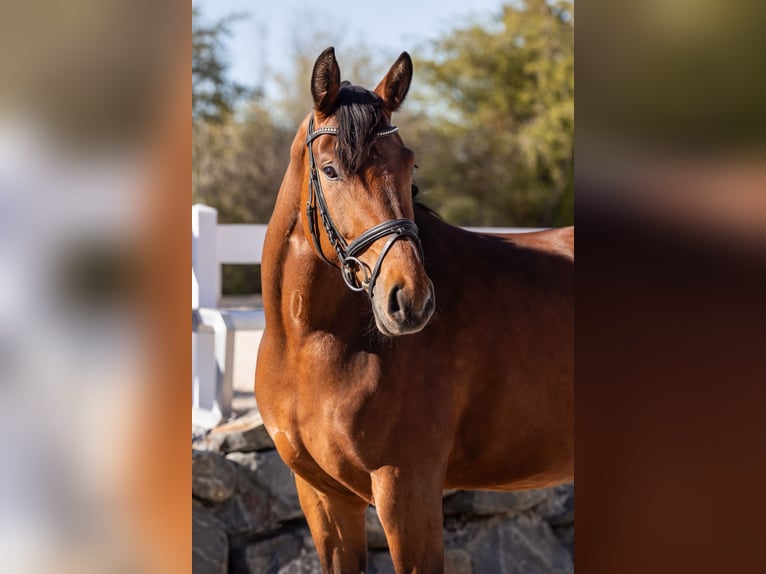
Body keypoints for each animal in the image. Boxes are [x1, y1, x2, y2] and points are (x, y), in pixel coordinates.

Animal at [255, 47, 574, 573]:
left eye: (409, 164)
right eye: (330, 170)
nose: (410, 300)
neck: (311, 342)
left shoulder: (407, 492)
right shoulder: (324, 499)